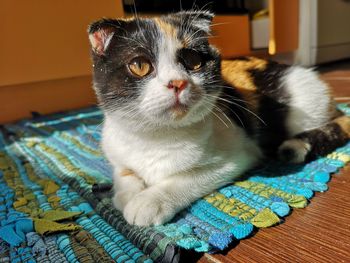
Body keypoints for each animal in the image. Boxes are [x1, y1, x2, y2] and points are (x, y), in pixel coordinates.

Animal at [88, 10, 350, 227]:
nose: (177, 83)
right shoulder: (117, 148)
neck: (156, 137)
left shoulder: (237, 157)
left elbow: (185, 178)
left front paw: (148, 201)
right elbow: (123, 172)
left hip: (303, 106)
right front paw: (125, 194)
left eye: (194, 61)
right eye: (140, 65)